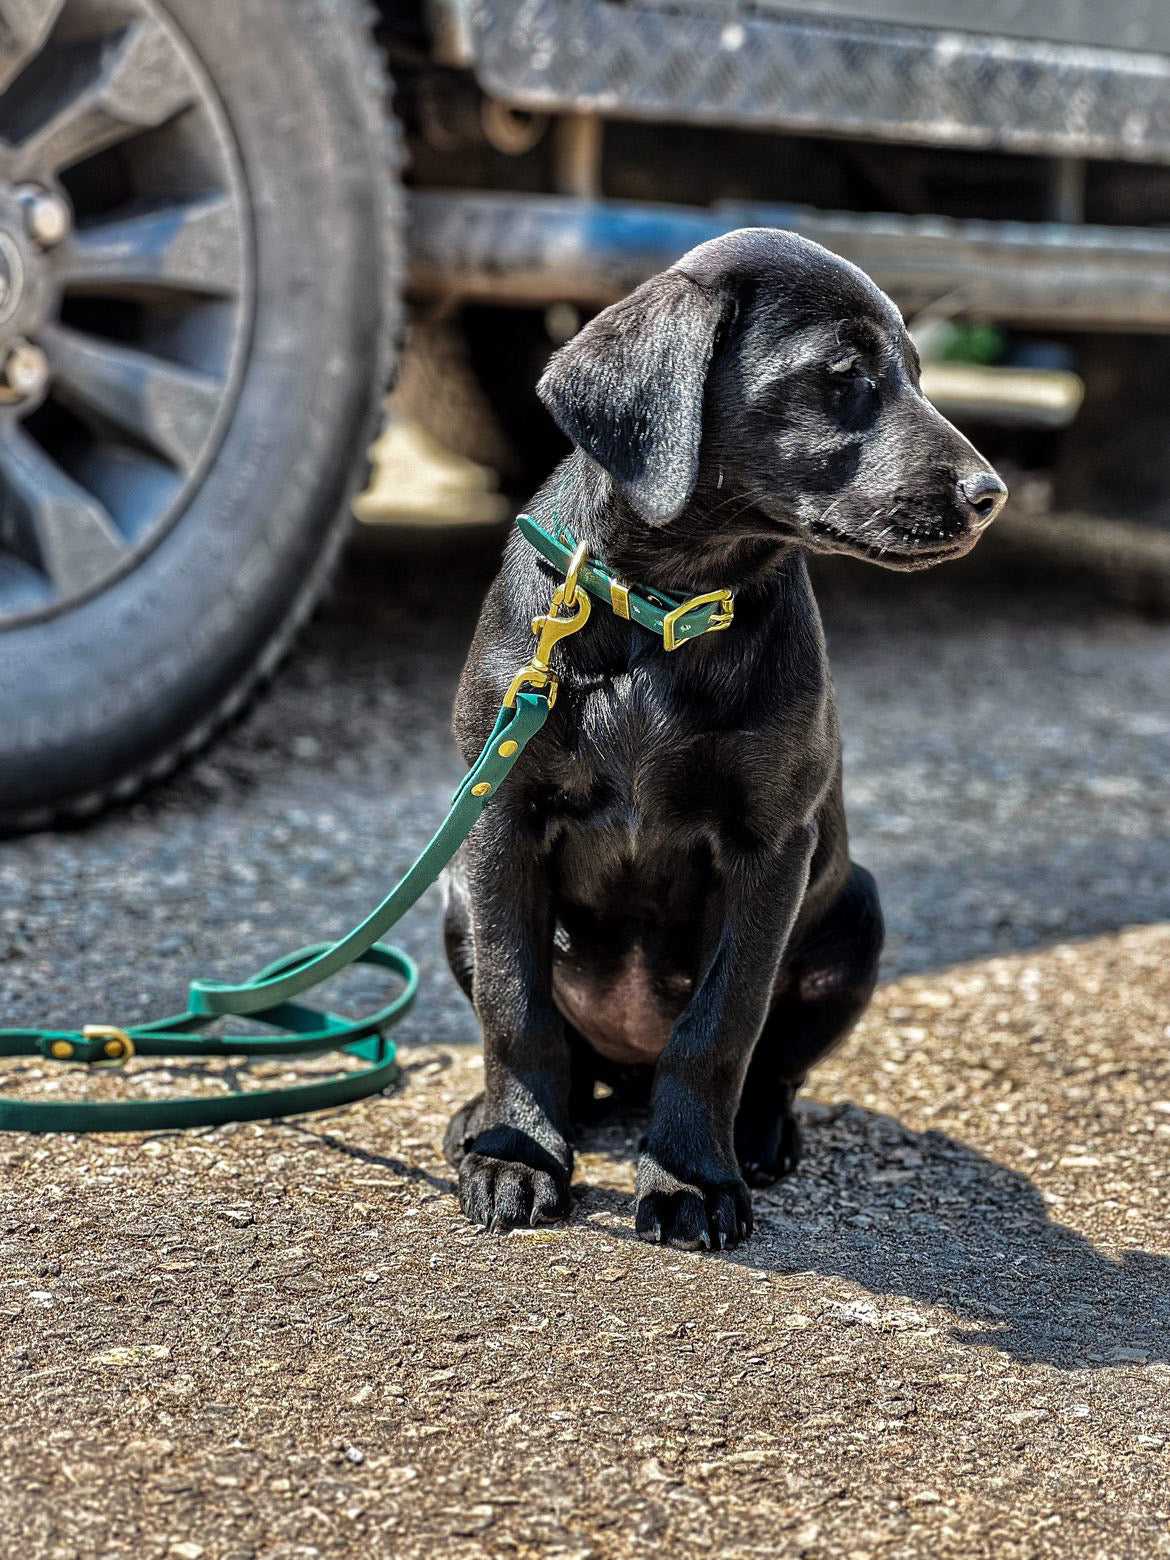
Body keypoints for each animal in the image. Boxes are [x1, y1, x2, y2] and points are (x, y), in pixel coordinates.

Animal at [439, 226, 1010, 1248]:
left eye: (916, 371)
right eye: (842, 375)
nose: (992, 495)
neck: (667, 608)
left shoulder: (770, 847)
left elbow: (718, 1030)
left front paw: (689, 1178)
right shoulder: (501, 820)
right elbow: (517, 1009)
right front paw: (516, 1154)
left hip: (856, 915)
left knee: (770, 1066)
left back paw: (759, 1135)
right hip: (454, 901)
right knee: (571, 1058)